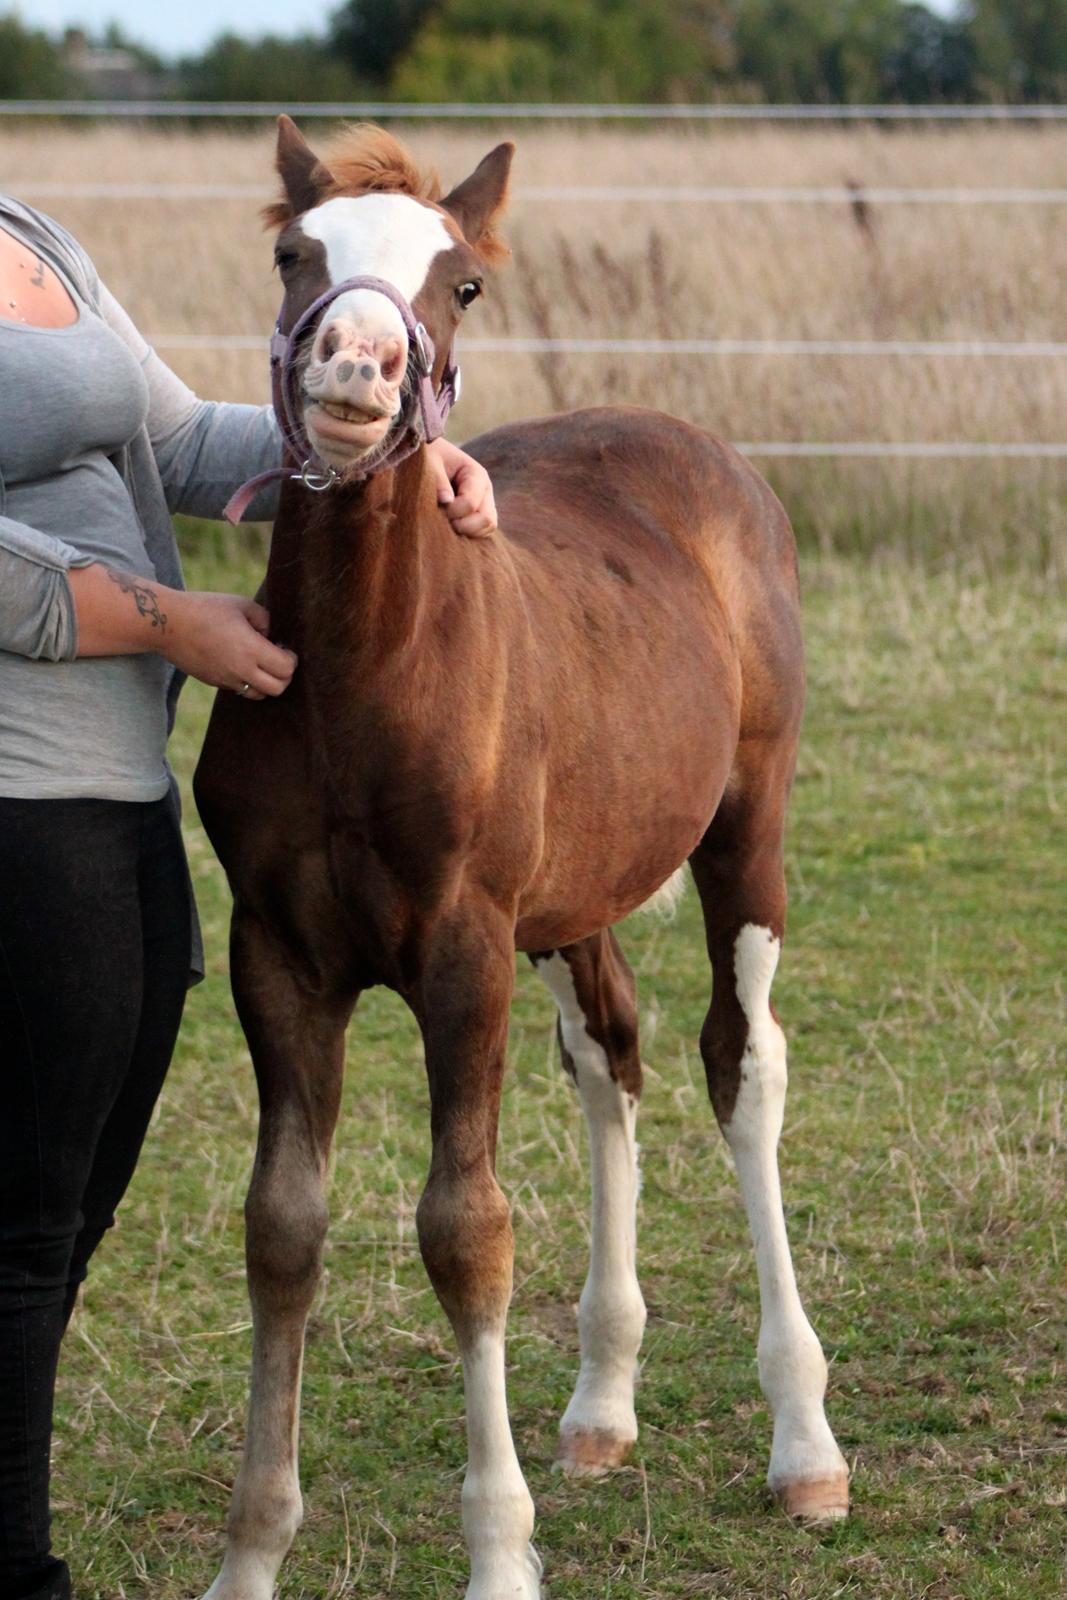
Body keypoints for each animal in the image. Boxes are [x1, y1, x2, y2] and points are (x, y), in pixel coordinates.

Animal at [194, 116, 851, 1600]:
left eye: (461, 284)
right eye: (293, 254)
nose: (354, 370)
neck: (364, 674)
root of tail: (697, 448)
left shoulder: (460, 949)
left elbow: (465, 1230)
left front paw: (497, 1551)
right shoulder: (275, 954)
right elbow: (281, 1227)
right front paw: (252, 1550)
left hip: (743, 833)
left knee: (741, 1064)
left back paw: (802, 1441)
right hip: (570, 895)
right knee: (611, 1053)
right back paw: (600, 1406)